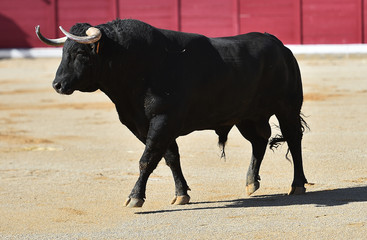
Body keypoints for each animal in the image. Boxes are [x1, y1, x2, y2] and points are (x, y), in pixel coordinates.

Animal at [36, 19, 310, 206]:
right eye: (63, 52)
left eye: (80, 53)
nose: (57, 85)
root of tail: (280, 46)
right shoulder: (143, 124)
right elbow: (169, 157)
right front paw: (181, 194)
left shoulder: (163, 120)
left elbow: (147, 159)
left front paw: (135, 197)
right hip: (246, 115)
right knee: (259, 141)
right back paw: (251, 182)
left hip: (287, 106)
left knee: (293, 139)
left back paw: (297, 185)